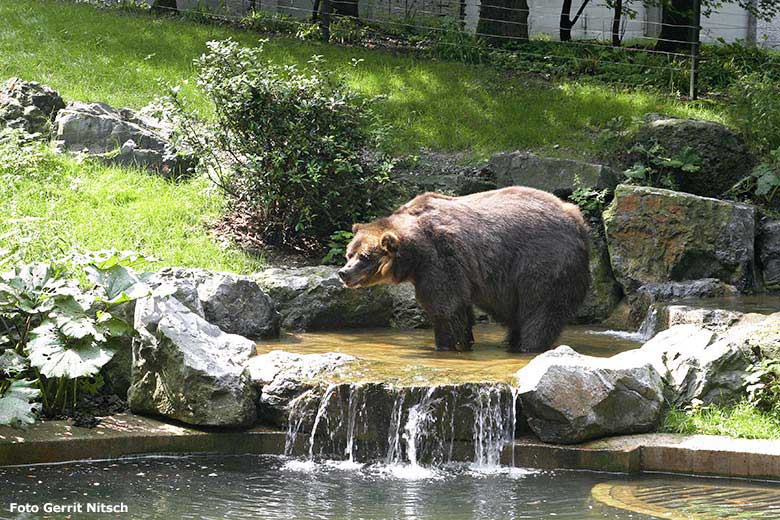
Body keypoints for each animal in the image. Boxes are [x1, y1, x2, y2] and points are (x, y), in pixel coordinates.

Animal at [336, 185, 592, 352]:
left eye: (365, 256)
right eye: (349, 253)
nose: (344, 273)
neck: (413, 254)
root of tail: (576, 218)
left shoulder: (438, 258)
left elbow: (444, 305)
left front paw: (445, 345)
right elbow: (460, 307)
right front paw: (465, 340)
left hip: (542, 260)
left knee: (540, 308)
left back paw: (528, 346)